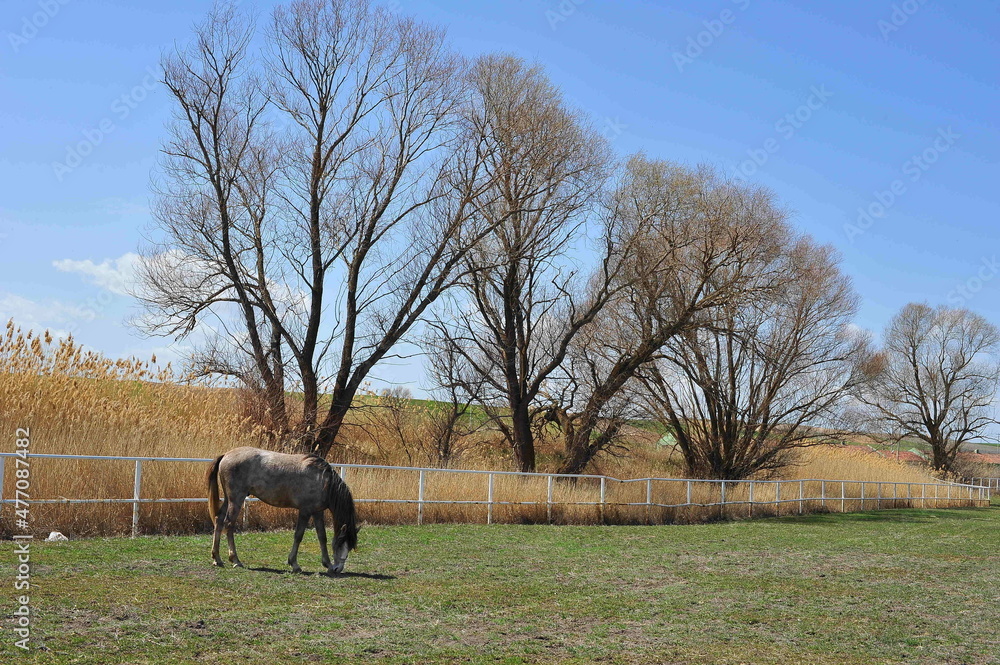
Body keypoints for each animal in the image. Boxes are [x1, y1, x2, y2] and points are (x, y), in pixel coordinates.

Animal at [204, 448, 360, 572]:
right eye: (342, 544)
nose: (338, 568)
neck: (323, 481)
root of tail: (226, 454)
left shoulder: (317, 512)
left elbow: (322, 537)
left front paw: (327, 564)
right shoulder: (305, 511)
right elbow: (298, 535)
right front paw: (294, 564)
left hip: (228, 499)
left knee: (219, 520)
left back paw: (217, 558)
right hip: (236, 498)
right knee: (229, 524)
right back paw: (235, 560)